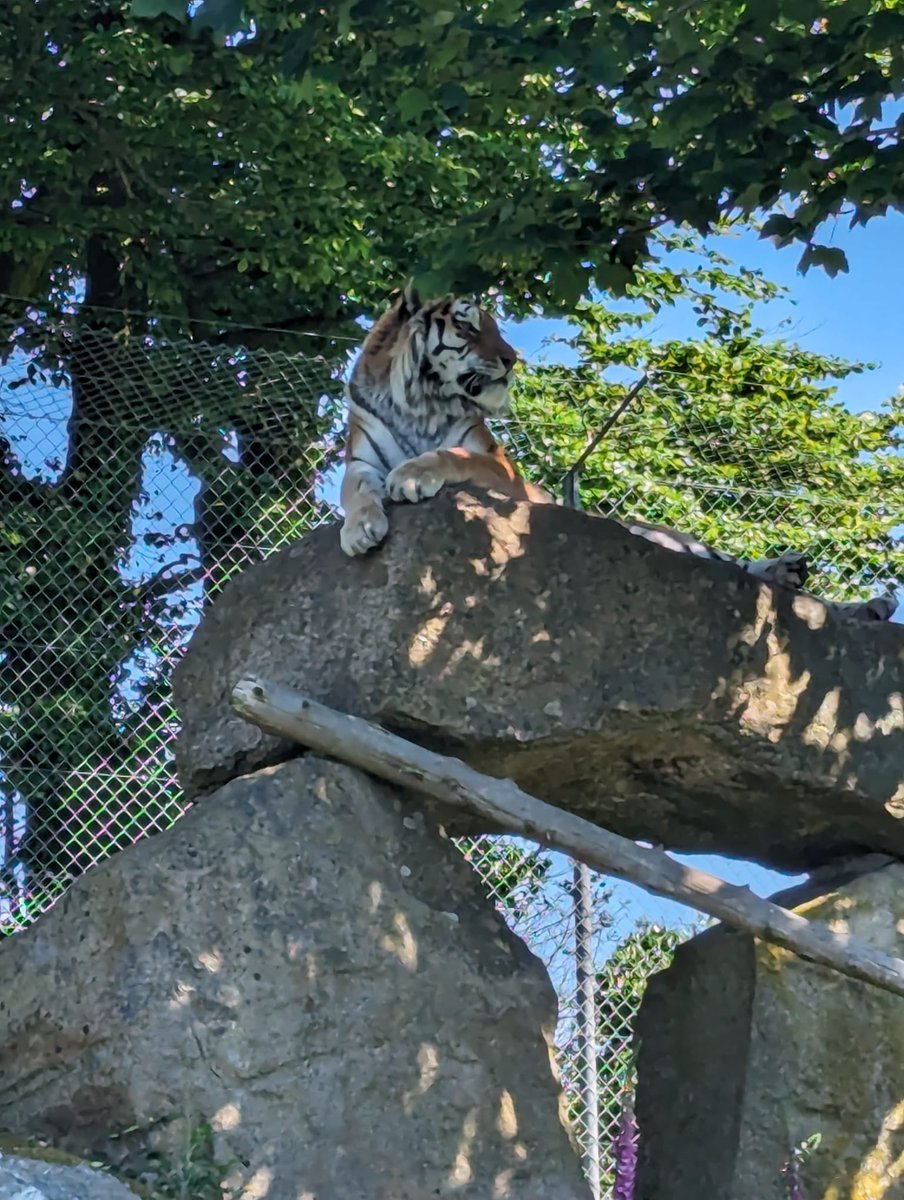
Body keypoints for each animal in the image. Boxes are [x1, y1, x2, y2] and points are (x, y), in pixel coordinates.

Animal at [338, 282, 899, 624]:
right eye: (469, 326)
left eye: (495, 326)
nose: (512, 359)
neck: (420, 399)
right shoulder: (360, 459)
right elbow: (355, 491)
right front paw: (361, 529)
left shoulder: (496, 462)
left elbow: (452, 454)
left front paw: (412, 476)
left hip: (672, 540)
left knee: (760, 579)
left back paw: (864, 600)